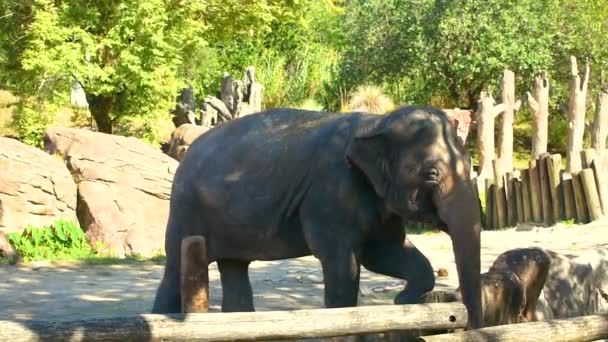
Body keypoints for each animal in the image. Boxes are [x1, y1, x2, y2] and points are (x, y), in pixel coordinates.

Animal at [153, 105, 484, 330]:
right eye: (431, 174)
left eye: (471, 163)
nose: (468, 325)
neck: (377, 121)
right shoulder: (331, 191)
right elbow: (343, 265)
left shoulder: (377, 200)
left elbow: (385, 254)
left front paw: (401, 302)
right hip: (185, 211)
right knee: (174, 269)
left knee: (234, 267)